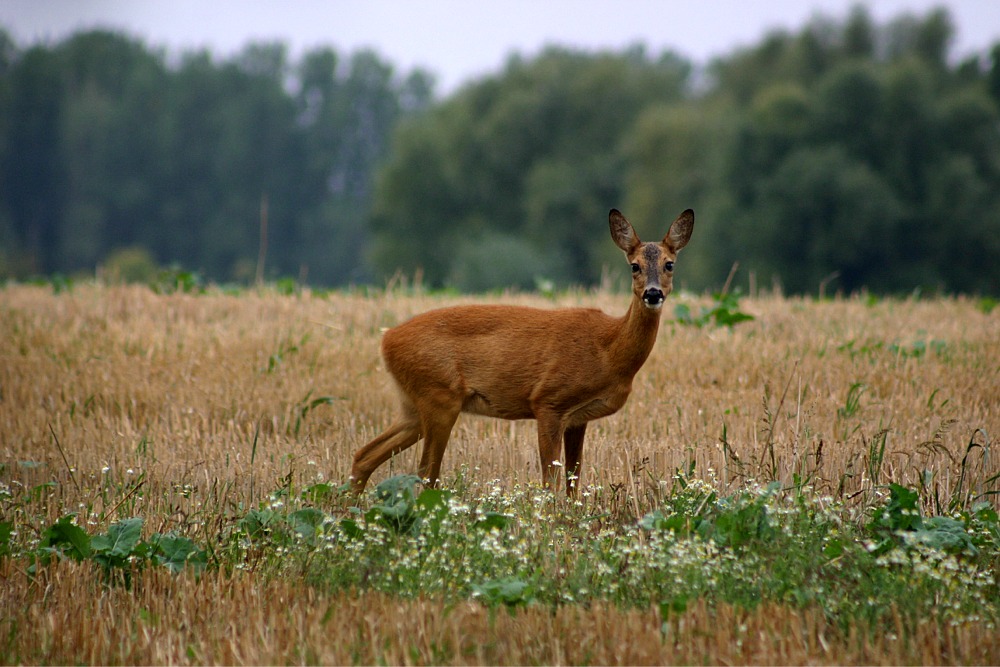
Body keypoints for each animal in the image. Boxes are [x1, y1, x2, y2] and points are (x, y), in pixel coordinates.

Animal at [352, 209, 696, 496]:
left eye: (669, 264)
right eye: (634, 266)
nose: (653, 293)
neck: (608, 351)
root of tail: (387, 339)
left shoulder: (578, 418)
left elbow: (573, 481)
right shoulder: (548, 400)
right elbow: (550, 481)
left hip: (413, 404)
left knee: (364, 455)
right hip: (439, 396)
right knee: (425, 472)